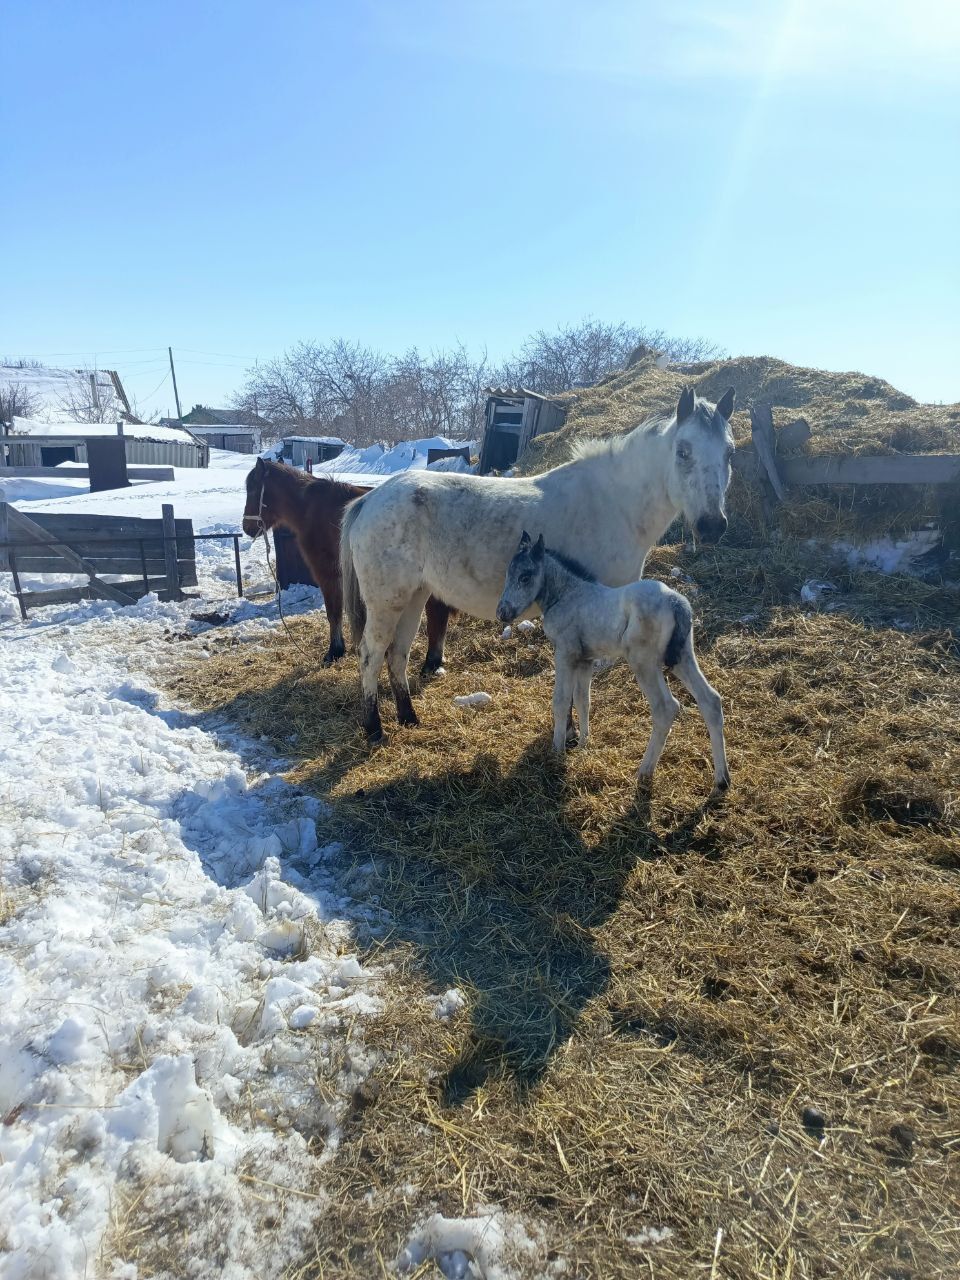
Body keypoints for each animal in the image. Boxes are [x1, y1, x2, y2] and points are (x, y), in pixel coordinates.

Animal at [240, 455, 450, 665]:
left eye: (253, 489)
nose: (247, 527)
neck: (310, 510)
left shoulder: (327, 574)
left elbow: (333, 612)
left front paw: (335, 650)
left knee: (437, 613)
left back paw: (433, 660)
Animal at [343, 384, 732, 742]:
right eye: (683, 451)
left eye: (729, 451)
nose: (713, 526)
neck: (614, 503)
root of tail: (371, 499)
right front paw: (570, 734)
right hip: (386, 602)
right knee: (371, 655)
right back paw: (374, 729)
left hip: (414, 597)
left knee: (398, 654)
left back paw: (409, 718)